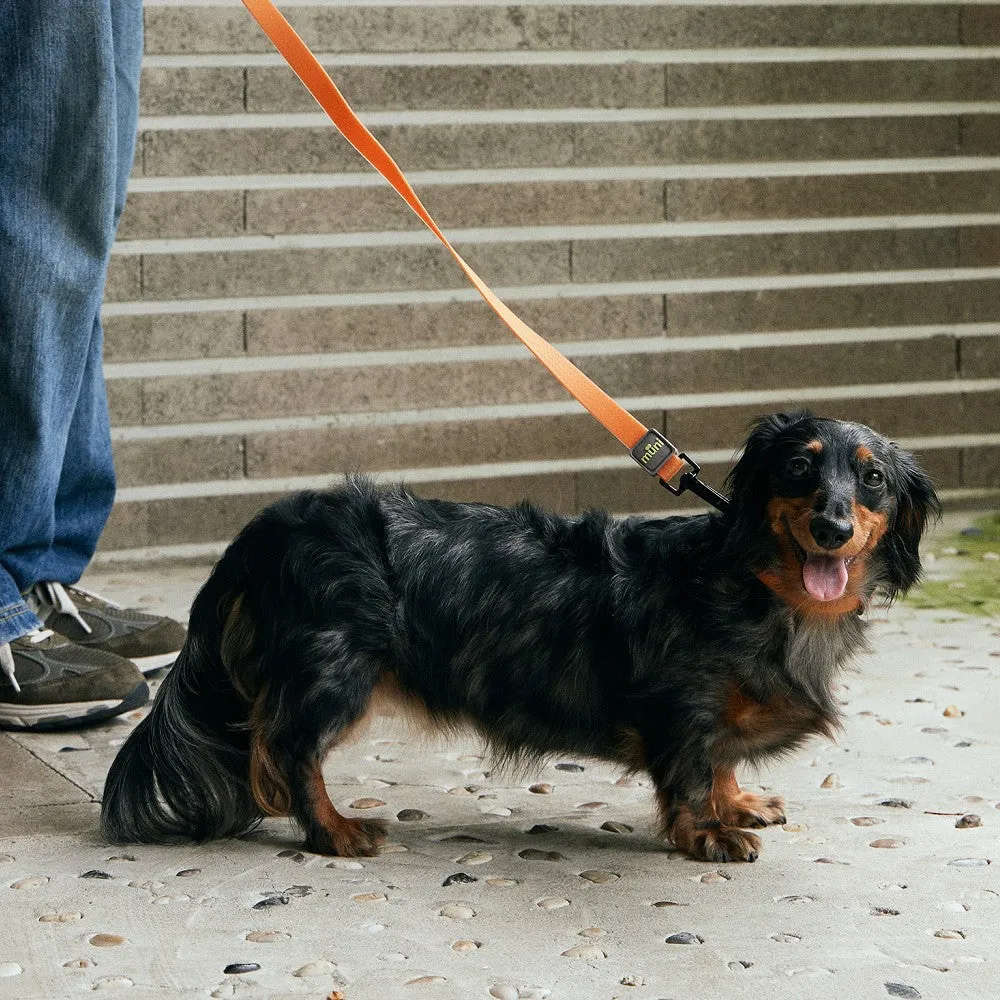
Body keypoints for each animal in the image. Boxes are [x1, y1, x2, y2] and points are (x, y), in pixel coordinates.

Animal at [99, 410, 936, 864]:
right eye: (798, 468)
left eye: (873, 480)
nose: (832, 529)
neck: (760, 587)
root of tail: (264, 531)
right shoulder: (682, 710)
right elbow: (693, 773)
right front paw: (707, 833)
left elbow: (722, 762)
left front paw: (738, 804)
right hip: (336, 669)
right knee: (289, 754)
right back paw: (335, 832)